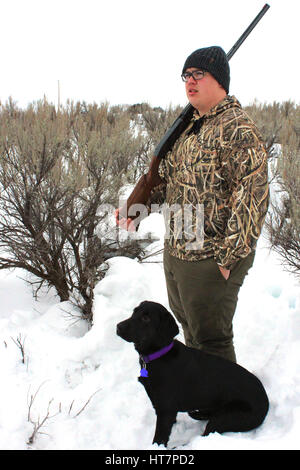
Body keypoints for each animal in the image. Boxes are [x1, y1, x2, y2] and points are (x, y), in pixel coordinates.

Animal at [116, 302, 268, 448]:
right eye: (134, 311)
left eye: (146, 318)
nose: (118, 327)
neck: (159, 355)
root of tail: (266, 402)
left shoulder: (165, 410)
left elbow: (160, 438)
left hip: (226, 417)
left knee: (206, 434)